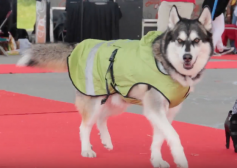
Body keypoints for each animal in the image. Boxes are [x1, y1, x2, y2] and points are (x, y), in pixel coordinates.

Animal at [16, 6, 213, 168]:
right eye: (180, 41)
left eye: (196, 40)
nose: (187, 57)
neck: (166, 65)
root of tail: (78, 45)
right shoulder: (155, 109)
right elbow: (173, 135)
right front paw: (180, 159)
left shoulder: (166, 112)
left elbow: (159, 138)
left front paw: (157, 160)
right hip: (94, 101)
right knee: (85, 126)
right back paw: (86, 149)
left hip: (118, 101)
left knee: (101, 119)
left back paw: (106, 141)